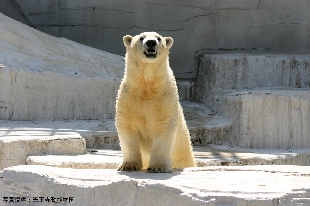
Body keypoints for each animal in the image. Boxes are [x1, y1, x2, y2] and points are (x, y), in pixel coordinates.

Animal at [115, 31, 195, 172]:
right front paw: (128, 165)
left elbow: (163, 128)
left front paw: (157, 167)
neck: (147, 86)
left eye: (158, 38)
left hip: (185, 156)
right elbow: (128, 127)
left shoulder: (165, 98)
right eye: (141, 38)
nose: (151, 42)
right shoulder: (128, 97)